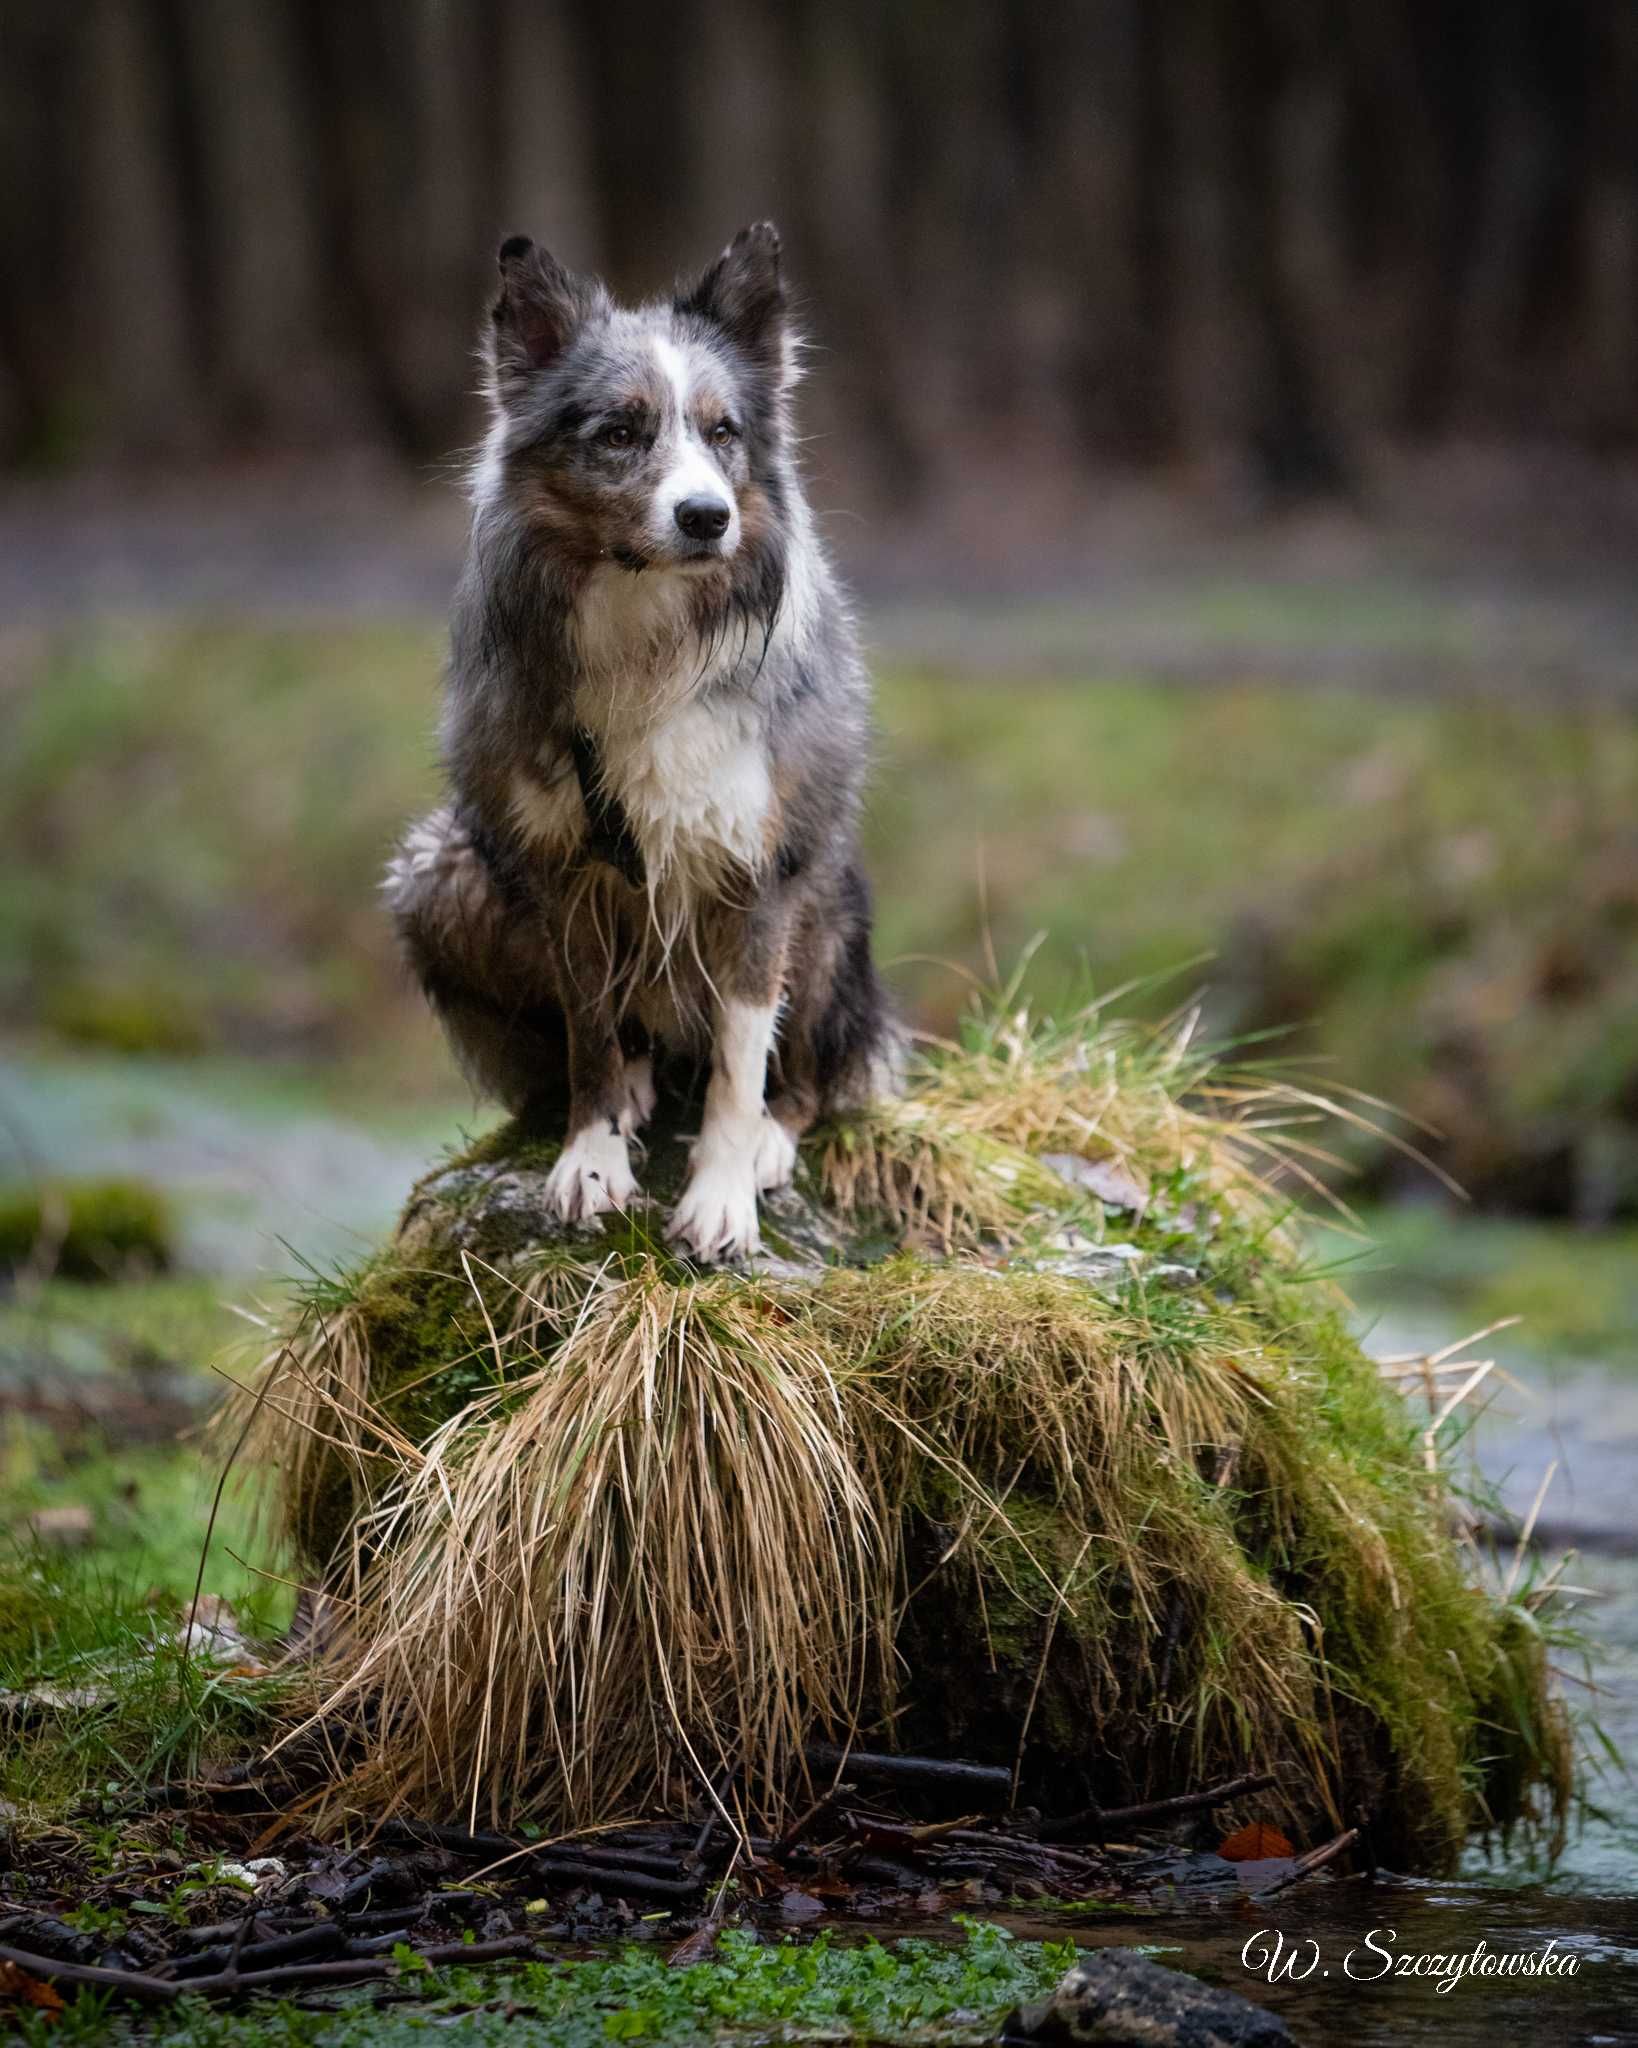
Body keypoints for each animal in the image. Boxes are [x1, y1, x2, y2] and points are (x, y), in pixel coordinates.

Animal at [386, 216, 896, 1253]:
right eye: (619, 432)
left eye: (723, 431)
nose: (707, 516)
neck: (646, 627)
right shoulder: (563, 871)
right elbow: (589, 1032)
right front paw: (592, 1158)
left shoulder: (758, 868)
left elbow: (742, 1062)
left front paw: (722, 1193)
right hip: (440, 871)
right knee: (621, 1048)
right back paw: (629, 1094)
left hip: (827, 897)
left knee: (810, 1074)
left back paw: (774, 1139)